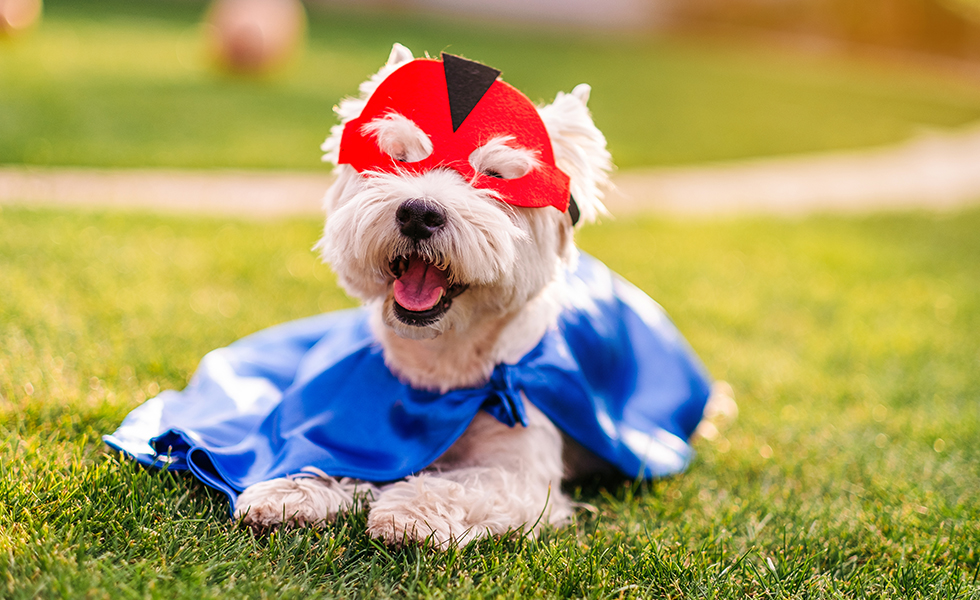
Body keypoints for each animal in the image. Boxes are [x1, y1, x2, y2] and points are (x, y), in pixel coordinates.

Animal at [230, 43, 728, 548]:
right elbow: (335, 459)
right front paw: (290, 492)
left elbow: (462, 483)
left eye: (493, 176)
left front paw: (408, 513)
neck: (442, 362)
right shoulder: (365, 430)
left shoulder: (521, 468)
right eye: (396, 157)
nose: (418, 213)